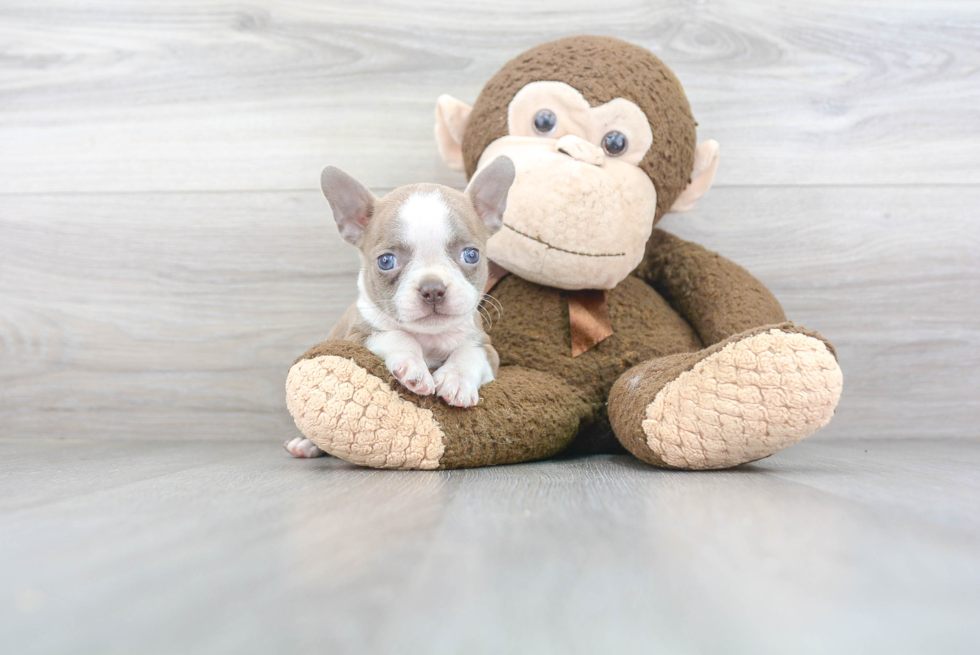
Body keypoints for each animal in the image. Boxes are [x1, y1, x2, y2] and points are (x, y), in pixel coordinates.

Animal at [284, 158, 512, 462]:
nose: (432, 288)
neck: (429, 337)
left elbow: (469, 353)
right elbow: (397, 335)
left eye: (471, 255)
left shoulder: (488, 349)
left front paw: (457, 379)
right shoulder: (358, 337)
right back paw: (305, 444)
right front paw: (413, 367)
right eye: (386, 261)